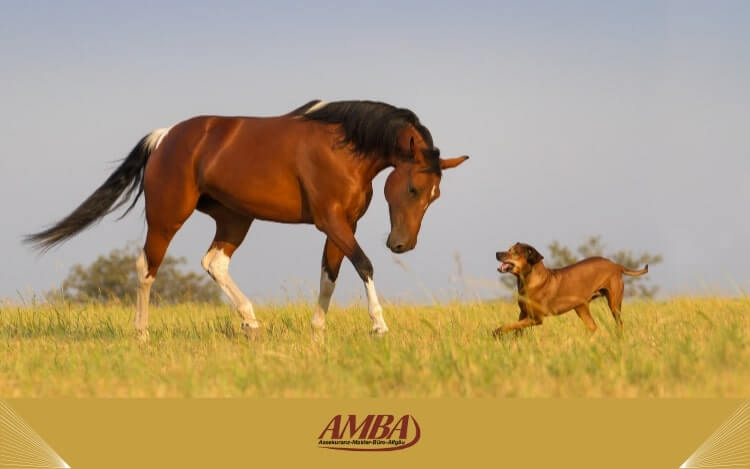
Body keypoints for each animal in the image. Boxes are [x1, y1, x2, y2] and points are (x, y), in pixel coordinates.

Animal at [29, 100, 470, 338]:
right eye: (413, 189)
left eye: (435, 195)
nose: (402, 244)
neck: (344, 148)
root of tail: (166, 136)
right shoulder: (332, 221)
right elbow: (364, 265)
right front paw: (378, 326)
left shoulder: (343, 226)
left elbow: (330, 275)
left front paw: (317, 334)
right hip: (167, 217)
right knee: (146, 267)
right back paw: (142, 334)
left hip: (235, 219)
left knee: (214, 263)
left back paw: (251, 323)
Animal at [496, 243, 648, 334]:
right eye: (508, 250)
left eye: (514, 253)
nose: (497, 253)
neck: (529, 281)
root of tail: (616, 265)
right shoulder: (523, 314)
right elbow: (515, 327)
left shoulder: (537, 318)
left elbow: (508, 326)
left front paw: (497, 332)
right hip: (581, 307)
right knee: (594, 327)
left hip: (614, 303)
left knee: (619, 322)